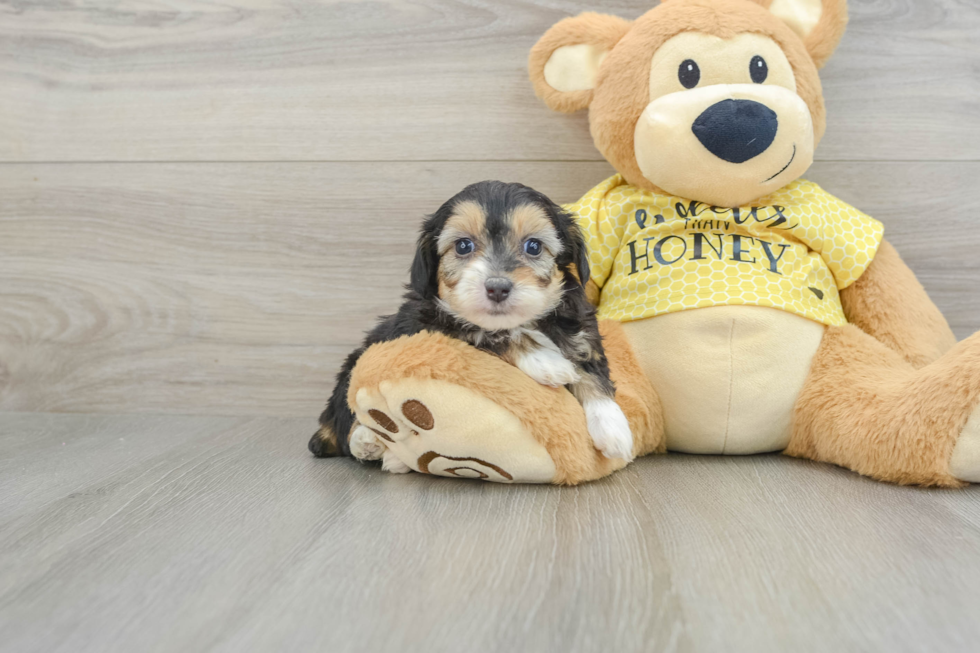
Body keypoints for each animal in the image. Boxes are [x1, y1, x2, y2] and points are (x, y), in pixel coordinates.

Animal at [312, 181, 636, 472]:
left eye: (533, 246)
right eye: (463, 246)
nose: (497, 287)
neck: (526, 321)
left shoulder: (579, 329)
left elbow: (591, 369)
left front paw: (614, 428)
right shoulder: (431, 325)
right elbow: (492, 333)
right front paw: (546, 361)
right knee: (347, 424)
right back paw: (369, 442)